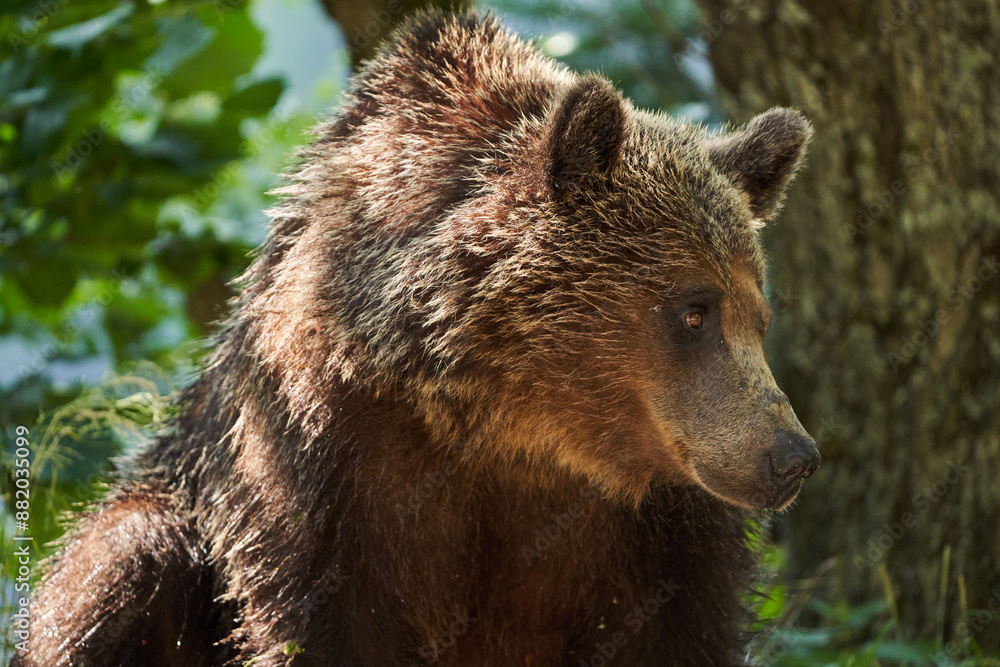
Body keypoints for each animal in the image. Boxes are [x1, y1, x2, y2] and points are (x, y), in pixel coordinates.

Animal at [13, 10, 819, 667]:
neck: (514, 426)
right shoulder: (326, 470)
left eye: (758, 314)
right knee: (122, 567)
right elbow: (320, 623)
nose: (792, 455)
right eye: (694, 308)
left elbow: (684, 629)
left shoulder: (663, 526)